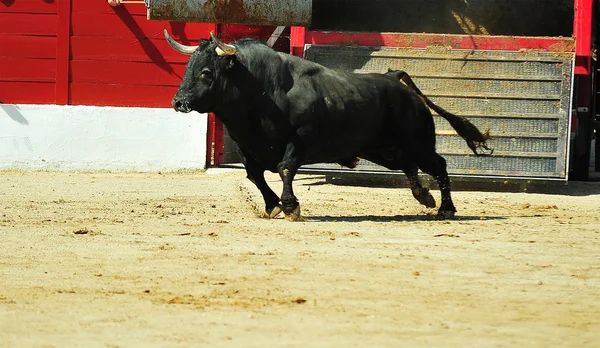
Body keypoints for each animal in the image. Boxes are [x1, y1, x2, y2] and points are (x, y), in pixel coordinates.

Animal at [164, 30, 492, 220]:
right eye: (188, 68)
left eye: (206, 73)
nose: (179, 102)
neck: (262, 91)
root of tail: (394, 79)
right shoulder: (247, 148)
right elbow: (255, 176)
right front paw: (272, 205)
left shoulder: (299, 140)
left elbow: (284, 167)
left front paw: (291, 206)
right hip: (385, 150)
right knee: (410, 167)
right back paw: (425, 197)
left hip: (417, 142)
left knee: (438, 164)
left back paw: (446, 208)